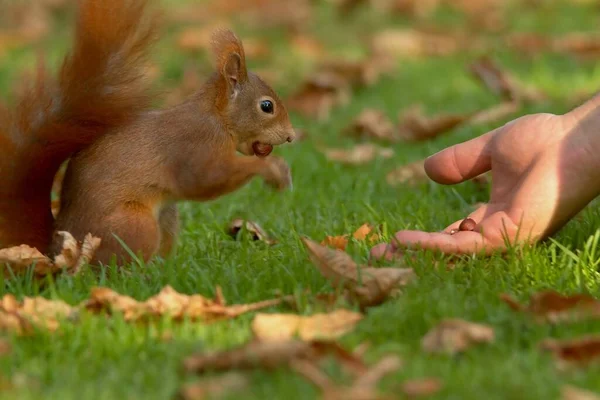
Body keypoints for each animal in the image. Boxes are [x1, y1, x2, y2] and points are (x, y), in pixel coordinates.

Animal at [0, 0, 296, 268]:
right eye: (266, 106)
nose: (291, 136)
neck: (217, 119)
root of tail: (56, 250)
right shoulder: (193, 146)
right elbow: (205, 180)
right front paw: (272, 168)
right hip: (135, 225)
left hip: (166, 216)